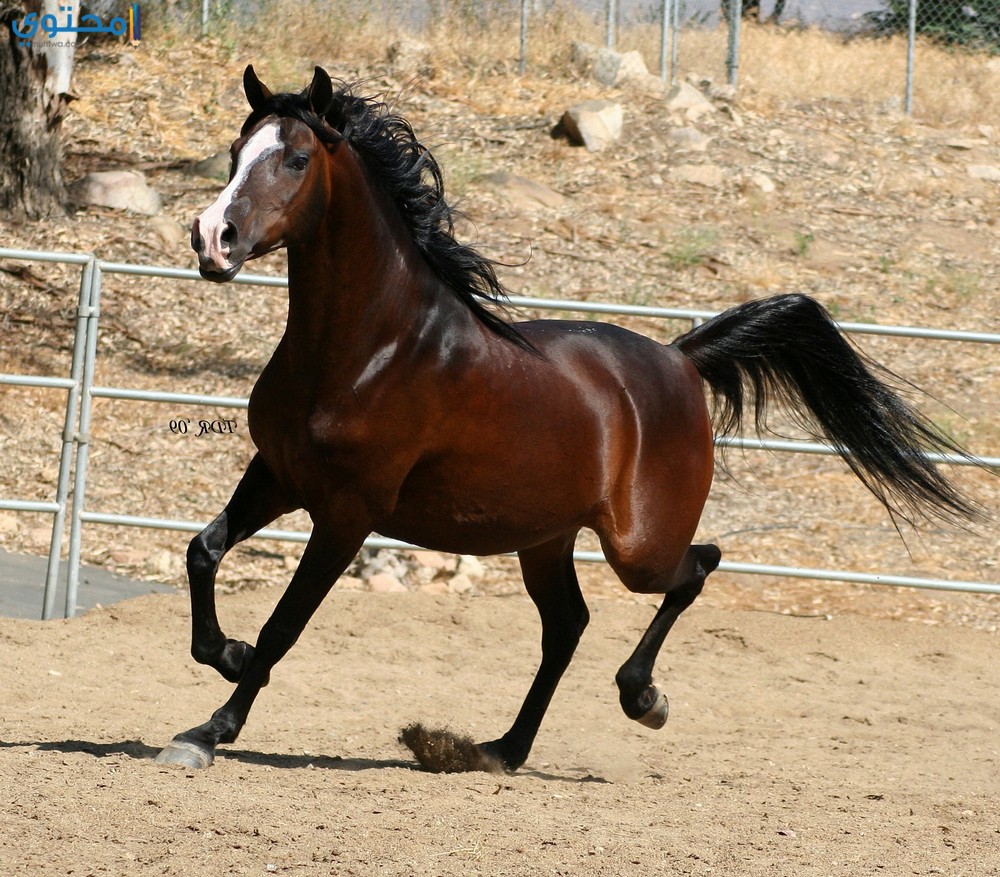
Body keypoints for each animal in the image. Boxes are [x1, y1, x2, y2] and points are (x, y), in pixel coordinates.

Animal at [156, 65, 976, 768]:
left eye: (295, 158)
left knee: (695, 567)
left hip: (637, 546)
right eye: (235, 151)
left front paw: (208, 730)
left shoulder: (347, 511)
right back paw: (500, 748)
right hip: (544, 535)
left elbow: (284, 623)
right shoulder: (279, 475)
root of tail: (680, 359)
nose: (213, 239)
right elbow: (203, 552)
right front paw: (223, 655)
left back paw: (643, 700)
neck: (369, 347)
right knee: (567, 625)